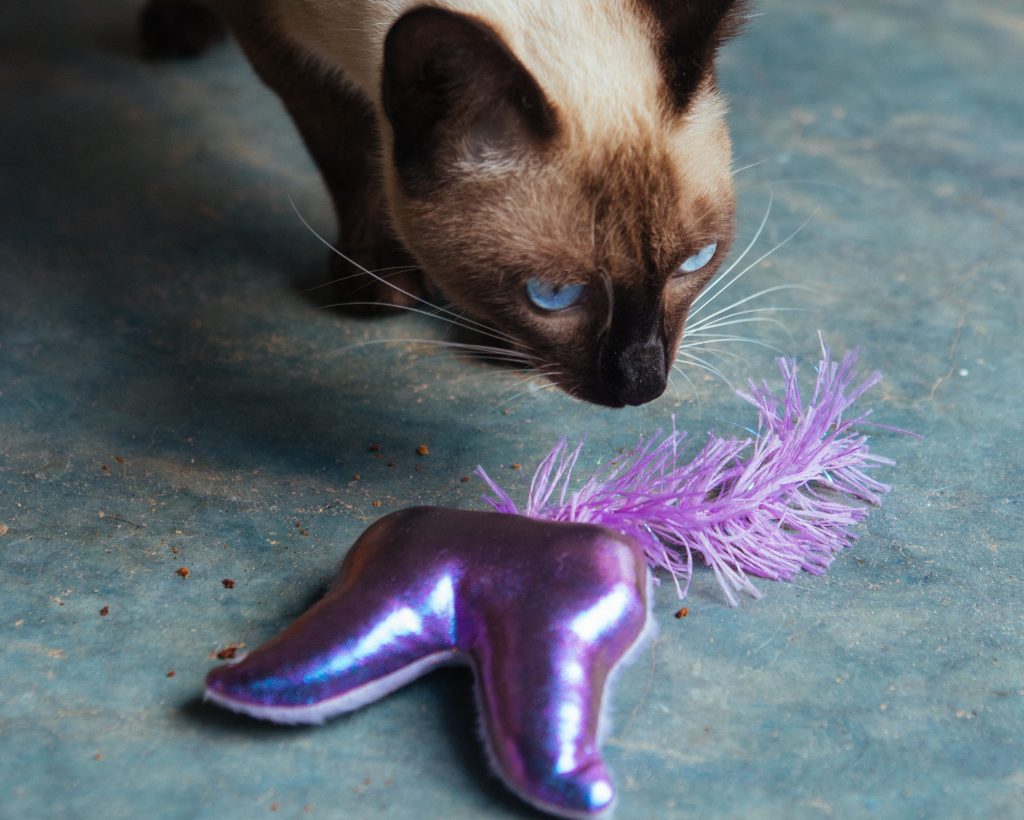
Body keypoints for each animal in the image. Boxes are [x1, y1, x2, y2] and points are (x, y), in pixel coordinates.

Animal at [142, 0, 745, 405]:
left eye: (694, 262)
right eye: (553, 295)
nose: (644, 383)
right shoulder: (277, 41)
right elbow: (348, 145)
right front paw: (379, 282)